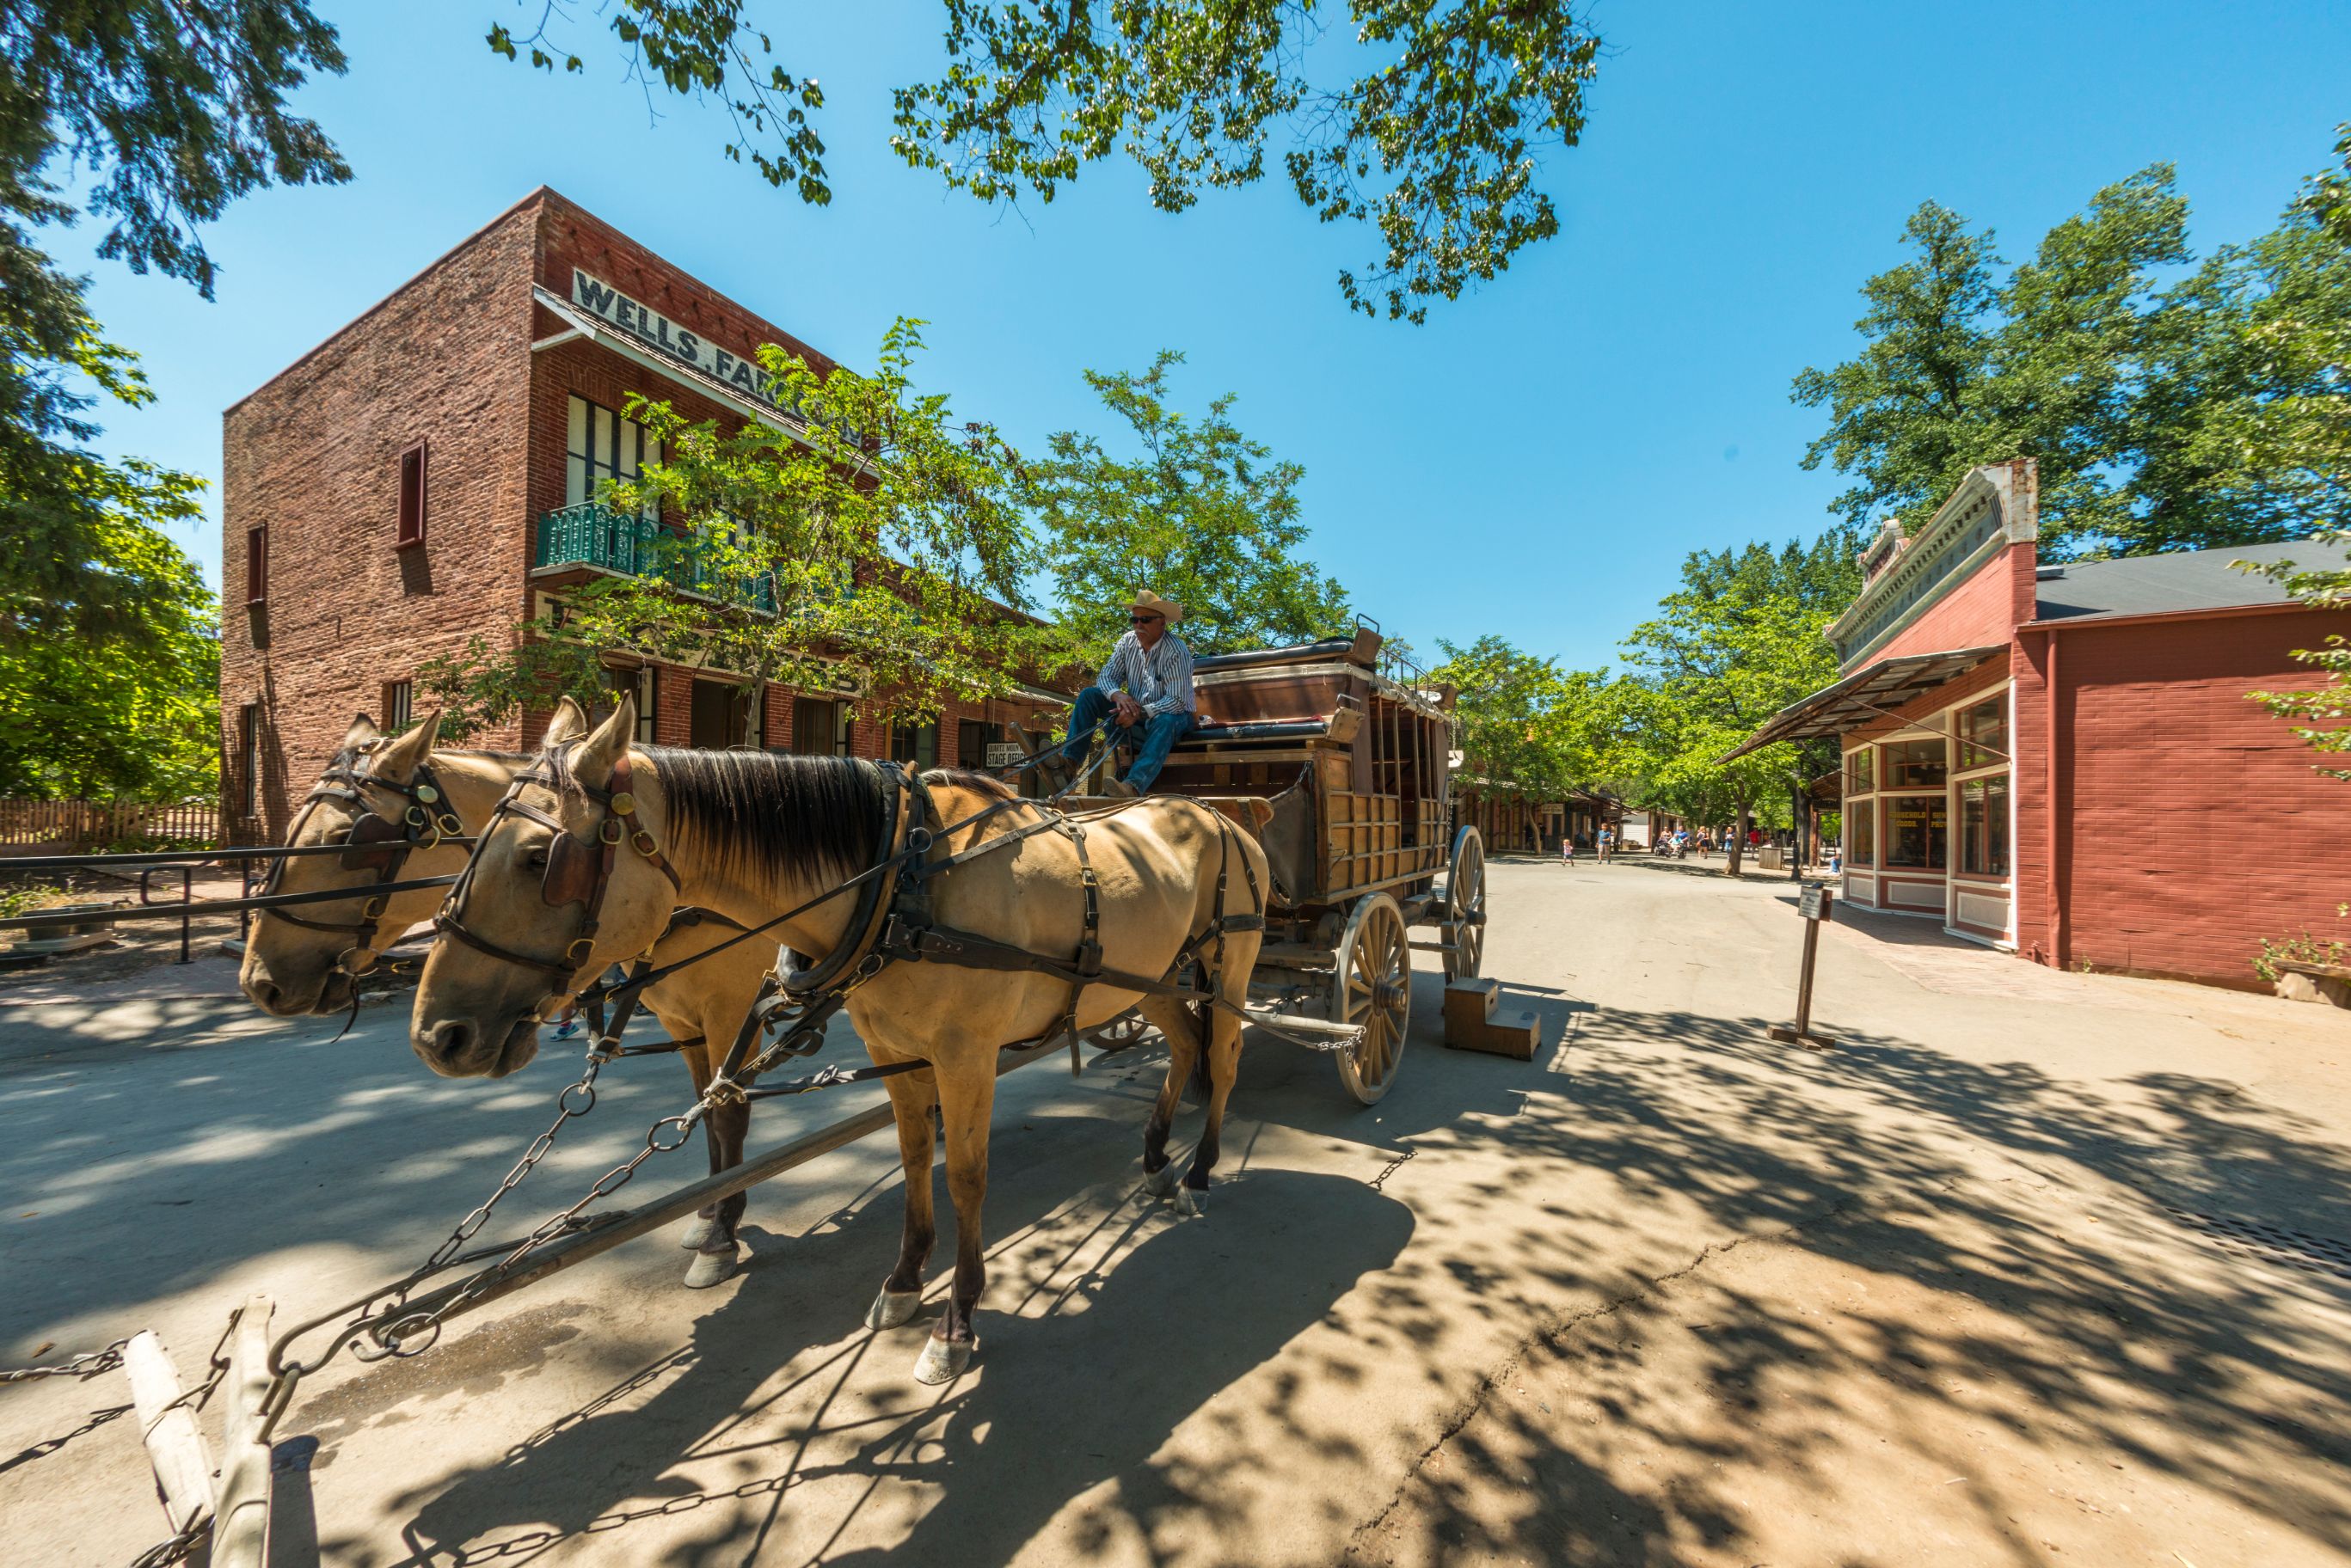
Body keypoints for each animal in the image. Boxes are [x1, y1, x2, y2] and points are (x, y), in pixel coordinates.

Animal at [238, 700, 776, 1288]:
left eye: (342, 841)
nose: (260, 980)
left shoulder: (731, 1011)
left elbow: (726, 1114)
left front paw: (721, 1233)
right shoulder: (685, 1022)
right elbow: (703, 1109)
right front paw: (708, 1213)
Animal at [414, 690, 1279, 1381]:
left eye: (538, 858)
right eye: (472, 843)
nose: (438, 1035)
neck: (902, 875)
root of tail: (1218, 812)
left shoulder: (967, 1056)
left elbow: (968, 1176)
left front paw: (957, 1320)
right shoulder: (894, 1049)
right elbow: (914, 1157)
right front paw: (904, 1283)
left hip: (1230, 966)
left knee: (1225, 1056)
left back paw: (1202, 1169)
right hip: (1154, 976)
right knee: (1183, 1046)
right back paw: (1157, 1160)